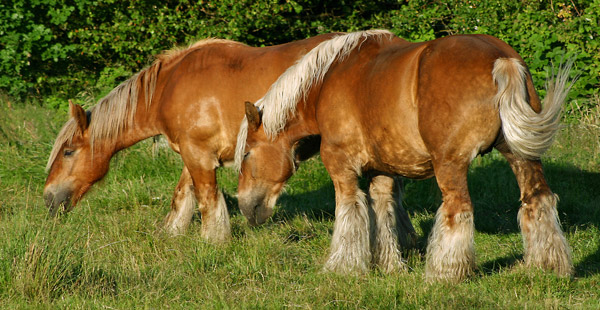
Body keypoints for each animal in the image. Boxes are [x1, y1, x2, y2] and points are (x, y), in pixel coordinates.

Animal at [42, 33, 344, 242]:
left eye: (68, 151)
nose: (48, 199)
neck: (169, 87)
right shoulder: (192, 152)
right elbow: (183, 194)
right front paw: (172, 232)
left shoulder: (198, 154)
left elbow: (207, 199)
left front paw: (212, 241)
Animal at [236, 29, 576, 280]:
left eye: (247, 154)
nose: (244, 206)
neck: (326, 82)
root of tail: (500, 59)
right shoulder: (382, 171)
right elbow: (383, 213)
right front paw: (388, 265)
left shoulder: (341, 167)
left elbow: (349, 215)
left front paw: (343, 267)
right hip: (522, 156)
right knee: (538, 200)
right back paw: (547, 266)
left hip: (450, 165)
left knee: (458, 211)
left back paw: (444, 275)